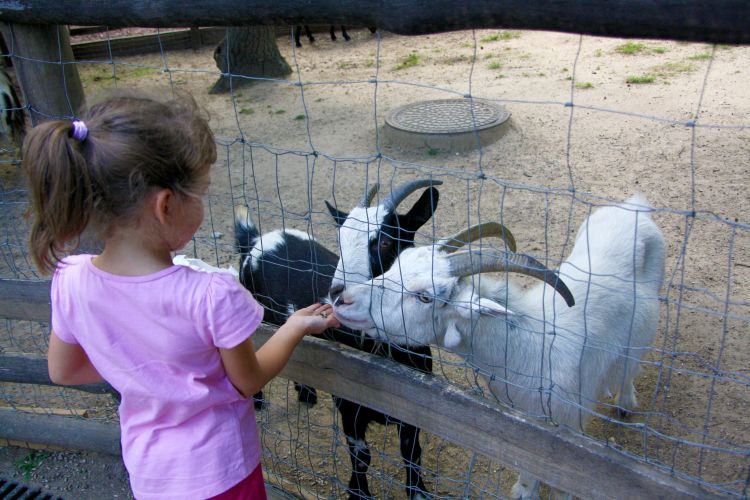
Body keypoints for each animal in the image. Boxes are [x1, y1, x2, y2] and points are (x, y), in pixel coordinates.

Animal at [235, 180, 440, 500]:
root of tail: (255, 239)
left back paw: (307, 393)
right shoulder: (348, 401)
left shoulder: (416, 406)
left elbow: (412, 453)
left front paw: (418, 492)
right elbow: (361, 456)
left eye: (385, 242)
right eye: (340, 241)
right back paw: (257, 401)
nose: (337, 294)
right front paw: (358, 493)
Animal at [334, 195, 668, 500]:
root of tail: (635, 206)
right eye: (396, 264)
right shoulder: (526, 423)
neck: (532, 346)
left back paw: (625, 402)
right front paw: (524, 490)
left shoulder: (570, 430)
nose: (342, 300)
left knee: (629, 366)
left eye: (425, 296)